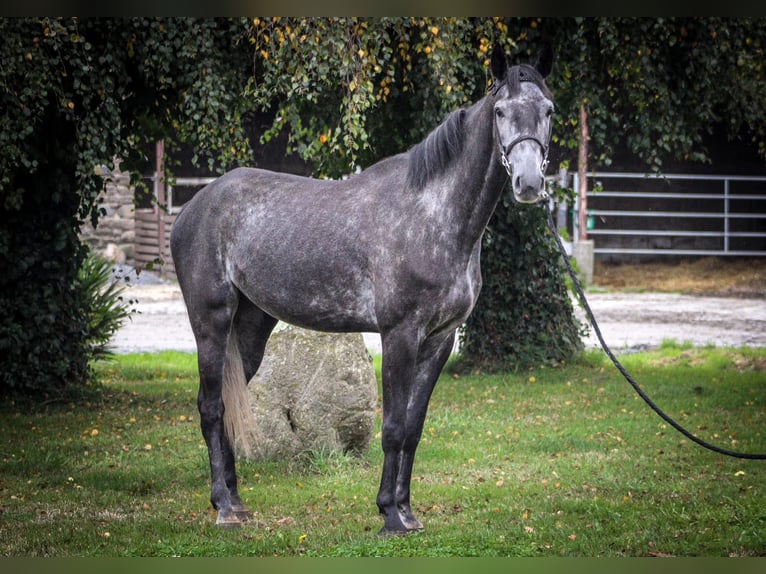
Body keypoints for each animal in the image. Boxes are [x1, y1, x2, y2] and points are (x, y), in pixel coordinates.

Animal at [171, 45, 556, 536]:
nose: (529, 184)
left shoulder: (439, 340)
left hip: (252, 327)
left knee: (226, 406)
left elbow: (413, 428)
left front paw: (408, 512)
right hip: (211, 322)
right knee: (210, 408)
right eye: (501, 111)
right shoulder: (399, 334)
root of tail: (193, 207)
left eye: (548, 110)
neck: (433, 214)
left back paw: (237, 503)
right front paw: (390, 515)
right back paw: (222, 506)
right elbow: (391, 427)